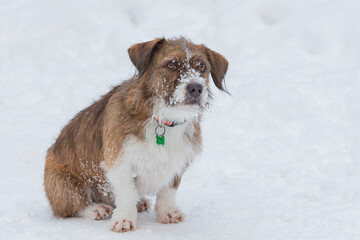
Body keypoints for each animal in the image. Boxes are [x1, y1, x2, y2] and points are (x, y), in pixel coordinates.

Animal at [43, 37, 228, 232]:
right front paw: (124, 219)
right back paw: (96, 209)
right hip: (64, 185)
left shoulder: (177, 162)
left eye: (202, 67)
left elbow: (168, 190)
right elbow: (127, 192)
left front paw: (168, 213)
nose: (196, 88)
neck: (164, 119)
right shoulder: (118, 160)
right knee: (68, 208)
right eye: (171, 64)